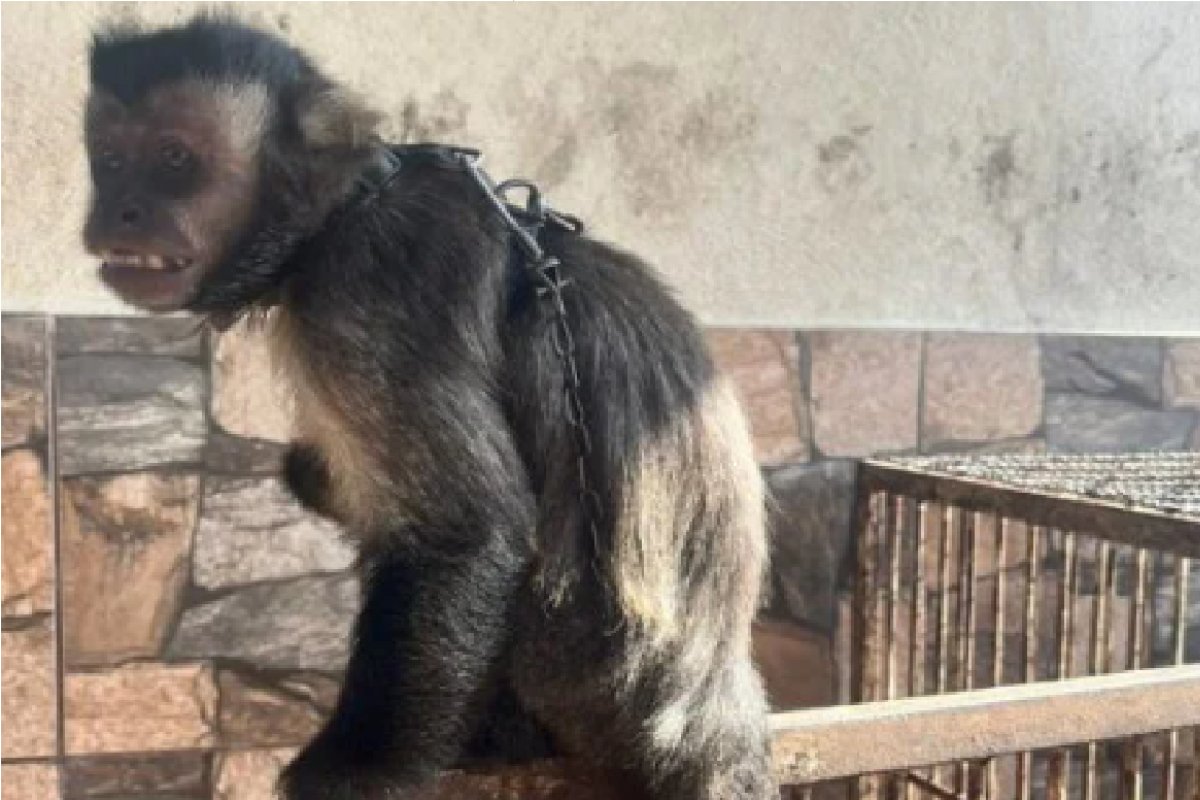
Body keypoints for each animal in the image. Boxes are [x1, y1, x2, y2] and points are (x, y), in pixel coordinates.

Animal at [83, 14, 776, 800]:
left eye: (173, 159)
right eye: (110, 161)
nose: (119, 208)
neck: (346, 204)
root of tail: (717, 709)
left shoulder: (367, 283)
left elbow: (467, 534)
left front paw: (348, 776)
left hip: (582, 673)